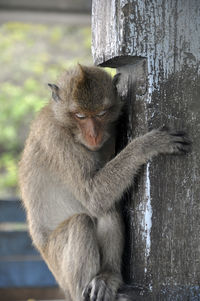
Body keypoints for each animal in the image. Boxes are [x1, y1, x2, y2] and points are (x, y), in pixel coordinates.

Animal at [18, 63, 191, 300]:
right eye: (80, 115)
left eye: (101, 113)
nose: (94, 134)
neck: (65, 123)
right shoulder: (57, 139)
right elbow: (93, 195)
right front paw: (147, 144)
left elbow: (101, 200)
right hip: (59, 266)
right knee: (83, 220)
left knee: (107, 210)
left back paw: (108, 277)